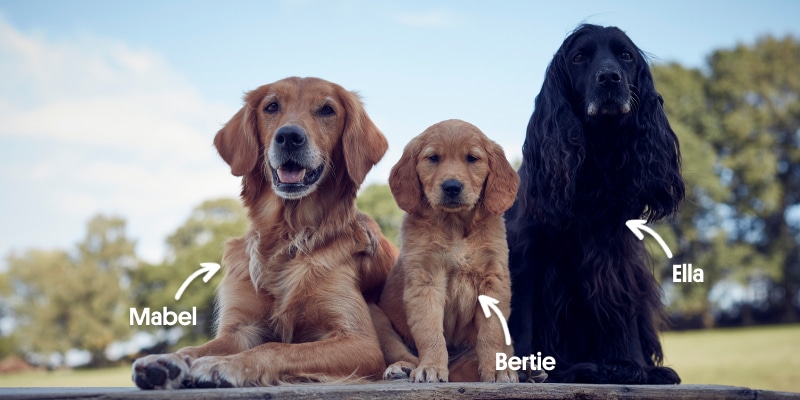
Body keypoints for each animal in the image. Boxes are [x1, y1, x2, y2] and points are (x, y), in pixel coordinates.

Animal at [131, 76, 400, 390]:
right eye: (271, 106)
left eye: (327, 110)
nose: (289, 136)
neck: (288, 233)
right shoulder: (241, 328)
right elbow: (201, 348)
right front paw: (167, 360)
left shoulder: (360, 341)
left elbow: (276, 347)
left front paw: (224, 365)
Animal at [368, 119, 520, 384]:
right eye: (433, 158)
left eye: (472, 158)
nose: (451, 187)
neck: (455, 225)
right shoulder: (425, 281)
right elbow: (430, 332)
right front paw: (431, 367)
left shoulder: (494, 280)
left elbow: (491, 333)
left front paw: (496, 368)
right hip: (376, 315)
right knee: (402, 351)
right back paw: (401, 368)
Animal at [510, 24, 684, 384]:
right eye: (579, 58)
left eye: (626, 55)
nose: (609, 78)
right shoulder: (526, 250)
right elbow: (521, 317)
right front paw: (520, 368)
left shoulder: (617, 255)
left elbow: (622, 311)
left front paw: (631, 365)